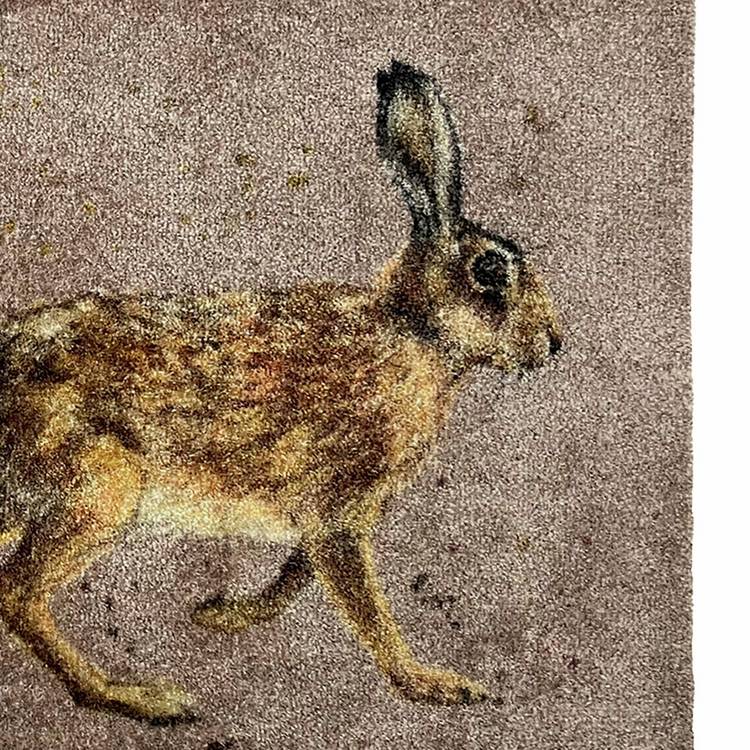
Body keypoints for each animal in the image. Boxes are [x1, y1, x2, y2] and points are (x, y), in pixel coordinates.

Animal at [0, 59, 561, 724]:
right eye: (492, 271)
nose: (554, 343)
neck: (416, 331)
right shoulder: (339, 506)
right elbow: (363, 604)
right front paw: (432, 684)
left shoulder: (337, 511)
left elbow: (298, 575)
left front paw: (224, 614)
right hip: (99, 485)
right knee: (17, 594)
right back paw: (141, 698)